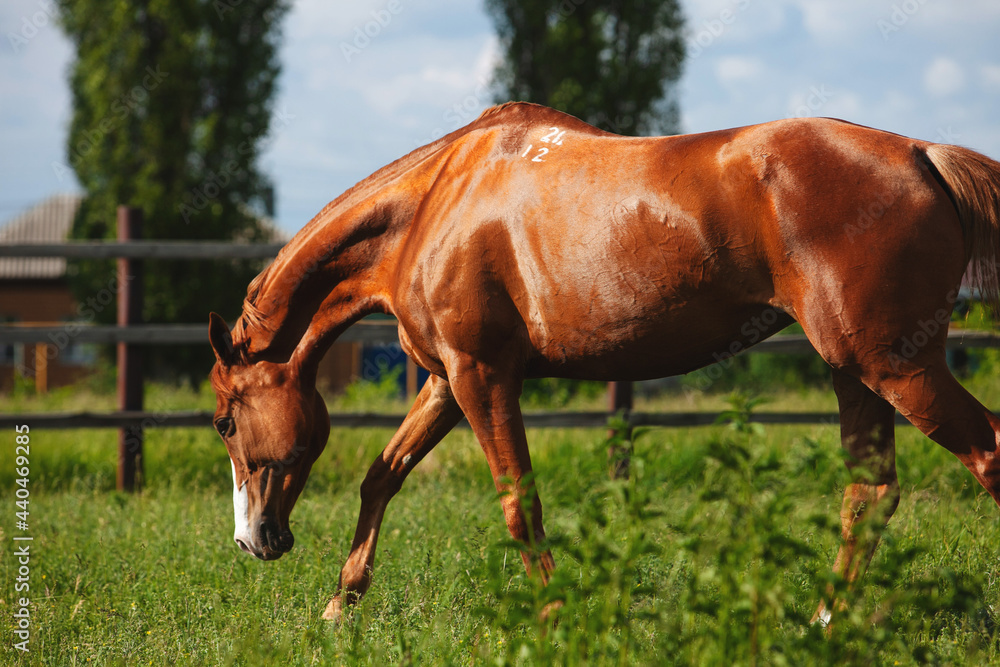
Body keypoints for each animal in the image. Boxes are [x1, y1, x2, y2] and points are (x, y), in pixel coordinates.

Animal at [208, 101, 1000, 625]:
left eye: (224, 422)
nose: (251, 539)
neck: (434, 203)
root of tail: (922, 153)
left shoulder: (482, 376)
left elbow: (518, 503)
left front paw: (556, 616)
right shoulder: (445, 379)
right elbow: (383, 476)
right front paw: (339, 607)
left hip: (895, 369)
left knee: (985, 454)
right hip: (854, 373)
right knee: (869, 494)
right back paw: (824, 623)